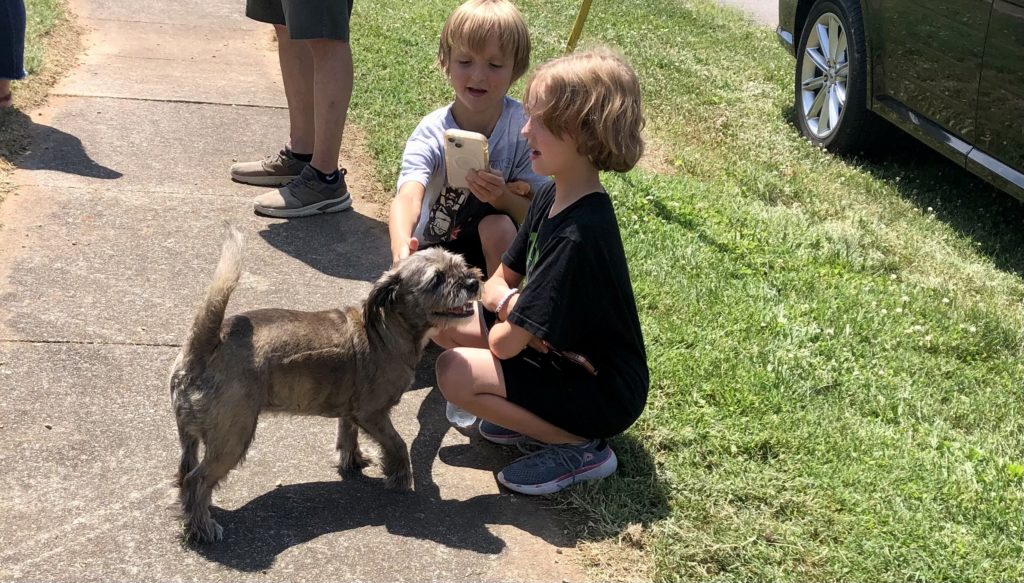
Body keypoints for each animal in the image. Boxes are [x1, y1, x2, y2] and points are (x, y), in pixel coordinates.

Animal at [169, 225, 481, 543]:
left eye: (459, 263)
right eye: (437, 279)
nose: (473, 282)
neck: (387, 328)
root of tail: (205, 345)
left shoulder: (352, 412)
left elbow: (348, 435)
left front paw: (353, 461)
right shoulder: (373, 414)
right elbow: (397, 443)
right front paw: (400, 477)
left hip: (191, 437)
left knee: (185, 472)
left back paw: (191, 512)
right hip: (233, 438)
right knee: (197, 480)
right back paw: (202, 526)